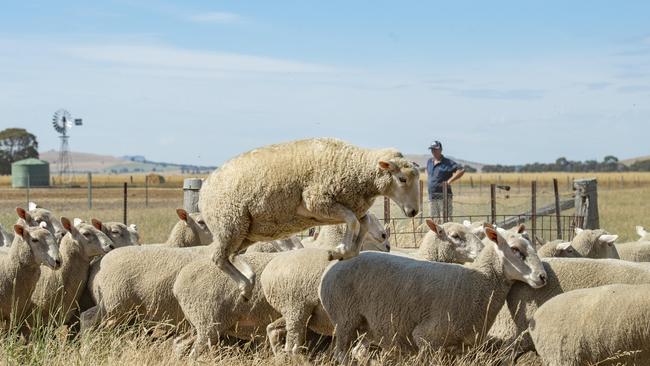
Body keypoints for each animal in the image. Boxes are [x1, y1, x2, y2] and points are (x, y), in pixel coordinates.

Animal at [199, 137, 420, 300]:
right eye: (402, 179)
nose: (413, 212)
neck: (356, 169)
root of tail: (204, 189)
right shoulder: (317, 202)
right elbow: (352, 222)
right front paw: (339, 250)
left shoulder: (355, 207)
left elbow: (361, 225)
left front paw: (346, 253)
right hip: (230, 224)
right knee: (218, 259)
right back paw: (244, 286)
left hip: (246, 231)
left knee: (232, 256)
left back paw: (249, 278)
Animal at [318, 227, 548, 362]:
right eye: (515, 249)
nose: (543, 276)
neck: (478, 281)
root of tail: (329, 272)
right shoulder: (427, 338)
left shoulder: (461, 348)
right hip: (345, 320)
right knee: (341, 354)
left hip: (364, 326)